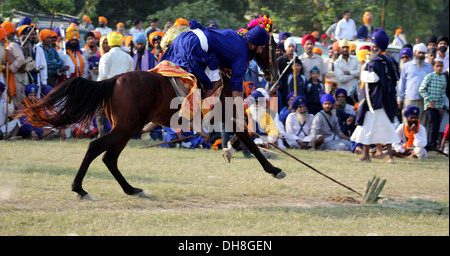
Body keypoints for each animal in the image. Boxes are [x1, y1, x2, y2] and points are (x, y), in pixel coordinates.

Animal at [19, 34, 284, 199]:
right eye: (276, 49)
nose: (274, 76)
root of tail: (114, 79)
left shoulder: (227, 117)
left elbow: (242, 137)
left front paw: (230, 150)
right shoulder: (230, 113)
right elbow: (249, 140)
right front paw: (273, 169)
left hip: (127, 129)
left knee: (109, 158)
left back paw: (131, 189)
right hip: (126, 127)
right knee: (96, 148)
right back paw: (79, 188)